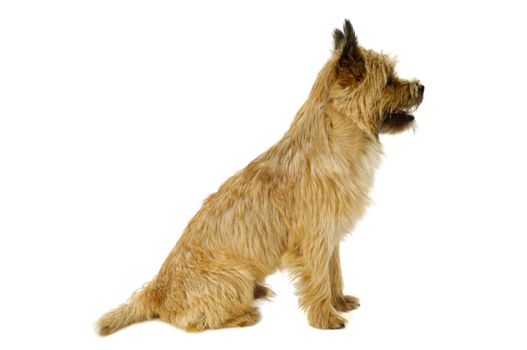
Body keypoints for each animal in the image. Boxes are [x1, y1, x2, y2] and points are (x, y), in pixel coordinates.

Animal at [96, 20, 424, 334]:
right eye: (389, 80)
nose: (421, 86)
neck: (332, 145)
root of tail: (156, 292)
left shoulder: (330, 236)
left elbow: (334, 272)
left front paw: (339, 301)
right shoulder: (314, 238)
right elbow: (319, 278)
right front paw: (325, 317)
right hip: (234, 277)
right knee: (195, 321)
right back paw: (245, 314)